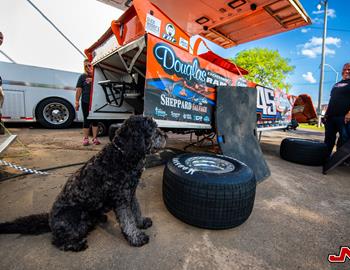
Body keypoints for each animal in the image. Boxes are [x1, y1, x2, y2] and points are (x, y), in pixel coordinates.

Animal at [0, 115, 166, 251]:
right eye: (152, 130)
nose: (165, 136)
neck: (122, 155)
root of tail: (49, 220)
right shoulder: (121, 198)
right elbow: (127, 220)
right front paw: (136, 237)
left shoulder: (130, 193)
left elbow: (136, 210)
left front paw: (141, 223)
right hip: (75, 219)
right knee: (57, 241)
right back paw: (76, 245)